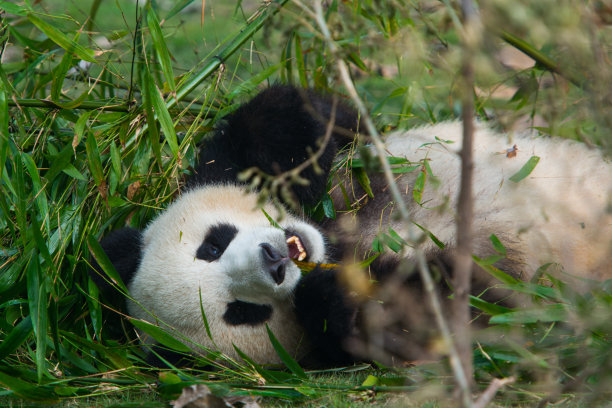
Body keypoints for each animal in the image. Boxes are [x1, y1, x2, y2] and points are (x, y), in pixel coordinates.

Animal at [93, 84, 612, 368]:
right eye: (241, 313)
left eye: (212, 245)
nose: (273, 259)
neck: (335, 240)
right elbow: (450, 317)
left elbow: (295, 115)